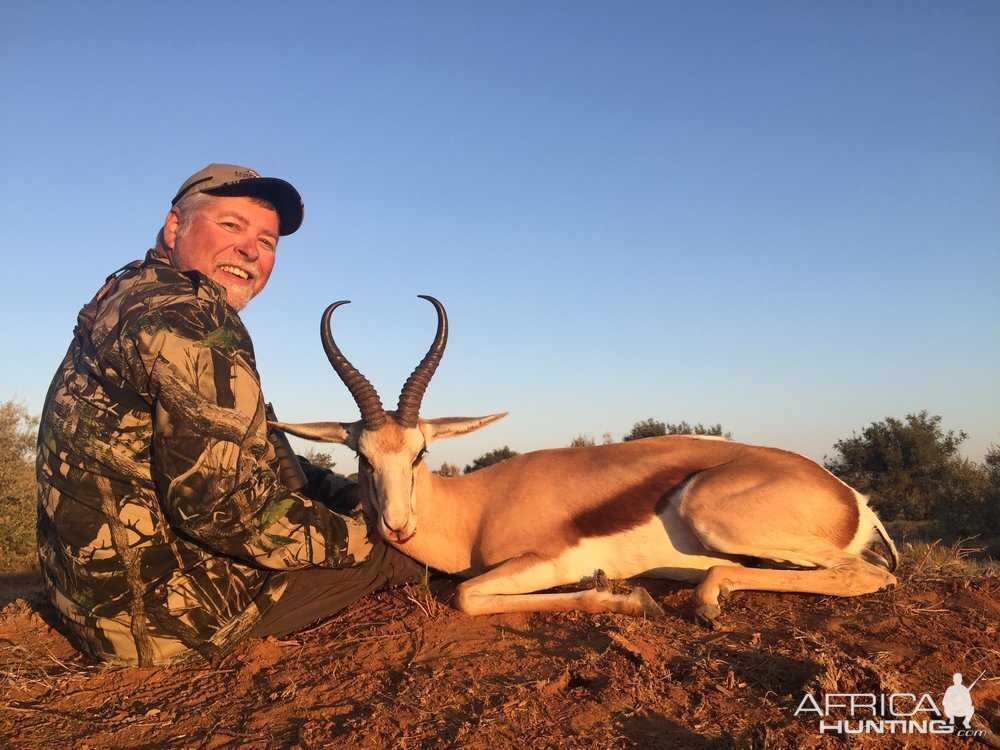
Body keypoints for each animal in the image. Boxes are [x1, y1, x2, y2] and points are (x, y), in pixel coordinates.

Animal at [274, 296, 900, 624]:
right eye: (361, 455)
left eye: (420, 452)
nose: (397, 527)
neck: (475, 507)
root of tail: (852, 498)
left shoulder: (550, 559)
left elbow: (467, 596)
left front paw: (621, 596)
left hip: (715, 517)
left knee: (868, 574)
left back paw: (704, 600)